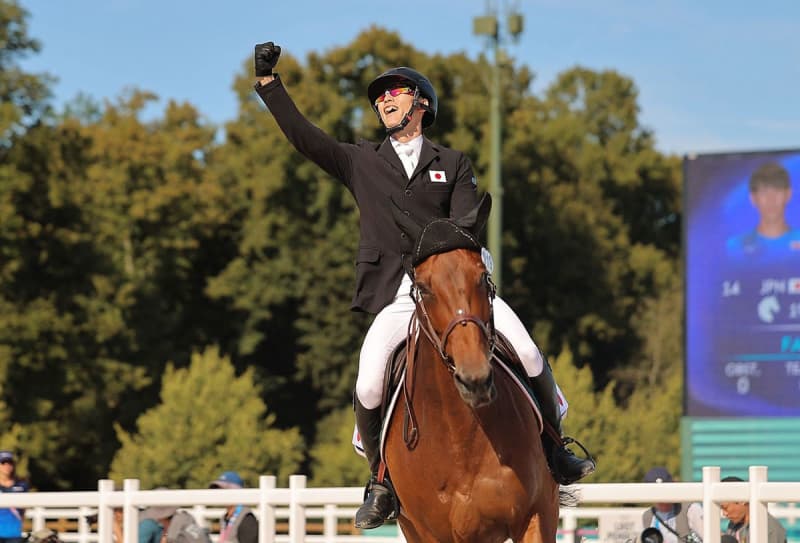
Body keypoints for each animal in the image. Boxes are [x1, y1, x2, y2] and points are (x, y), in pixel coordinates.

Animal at [384, 194, 560, 543]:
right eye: (424, 288)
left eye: (482, 276)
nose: (474, 380)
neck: (460, 436)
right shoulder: (435, 534)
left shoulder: (535, 515)